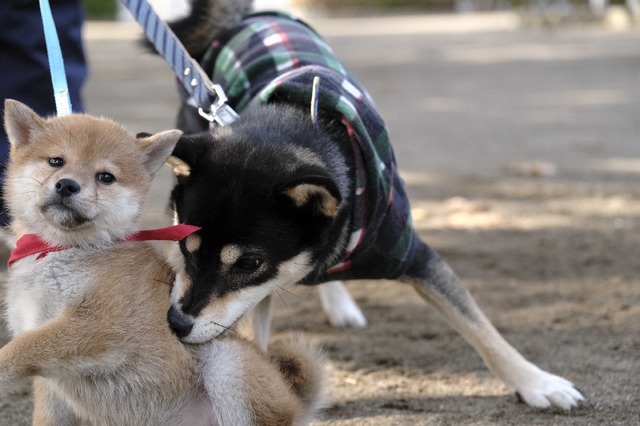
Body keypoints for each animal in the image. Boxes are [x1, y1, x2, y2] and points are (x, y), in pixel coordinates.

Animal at [0, 100, 324, 426]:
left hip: (225, 363)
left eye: (106, 177)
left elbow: (18, 349)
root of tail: (295, 400)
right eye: (56, 161)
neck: (62, 251)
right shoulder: (50, 381)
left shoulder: (100, 323)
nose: (67, 185)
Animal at [164, 0, 584, 410]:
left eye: (249, 263)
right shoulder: (255, 292)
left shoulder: (413, 255)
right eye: (186, 247)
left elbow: (480, 326)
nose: (176, 323)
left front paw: (536, 382)